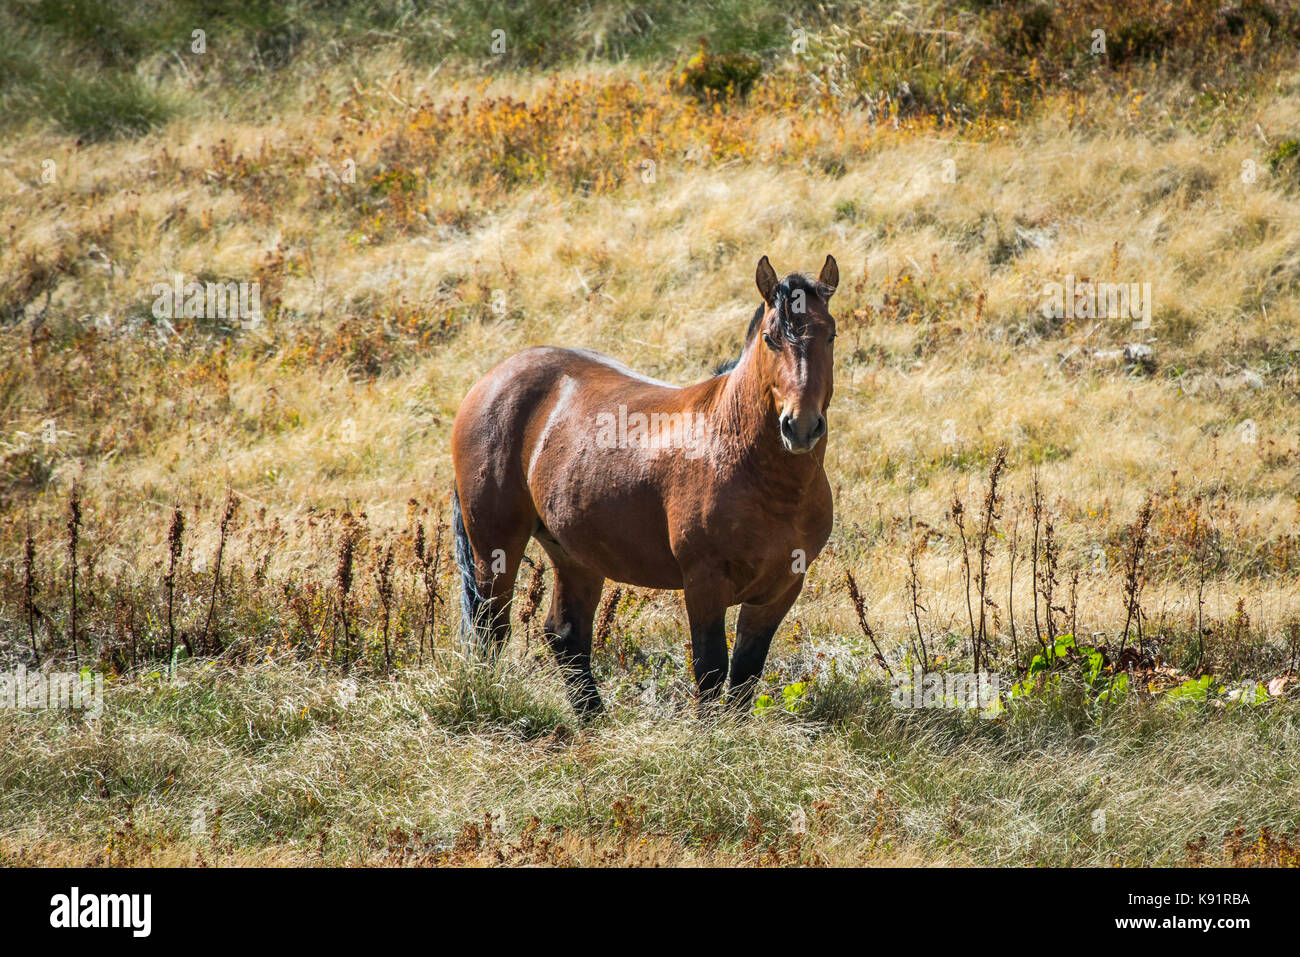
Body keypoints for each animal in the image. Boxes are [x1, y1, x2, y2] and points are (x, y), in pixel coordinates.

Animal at [452, 257, 837, 712]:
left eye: (830, 334)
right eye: (770, 339)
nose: (801, 427)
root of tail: (492, 379)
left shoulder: (780, 589)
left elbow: (745, 674)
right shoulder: (704, 583)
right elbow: (710, 669)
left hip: (574, 551)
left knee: (565, 636)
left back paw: (593, 718)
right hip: (494, 544)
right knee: (489, 629)